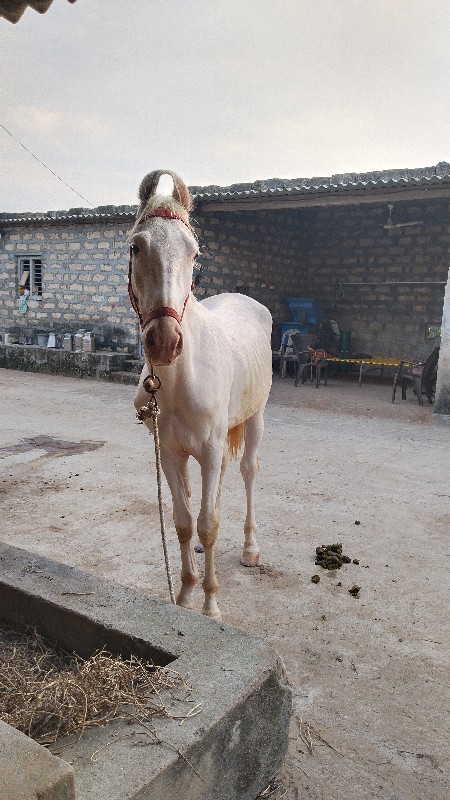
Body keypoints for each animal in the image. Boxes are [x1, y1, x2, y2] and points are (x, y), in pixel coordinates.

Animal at [128, 169, 272, 620]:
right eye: (136, 246)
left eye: (193, 253)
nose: (164, 342)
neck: (179, 383)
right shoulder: (170, 451)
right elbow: (184, 520)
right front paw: (185, 595)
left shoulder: (208, 448)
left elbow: (208, 524)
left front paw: (210, 606)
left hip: (255, 419)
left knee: (247, 473)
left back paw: (250, 549)